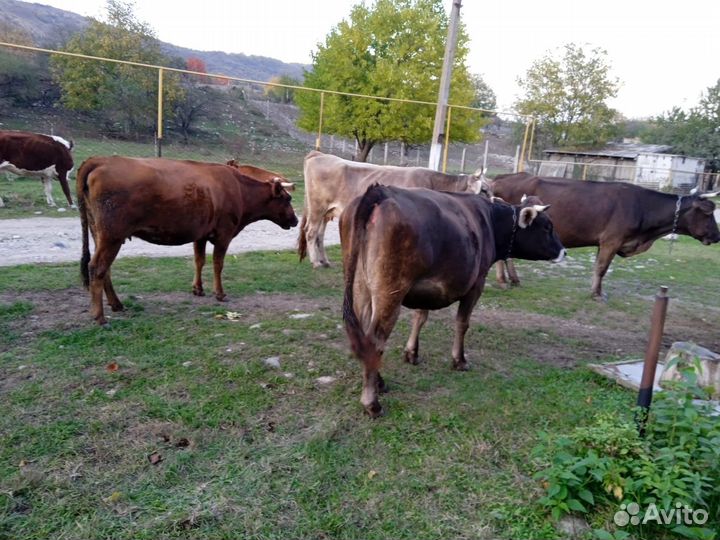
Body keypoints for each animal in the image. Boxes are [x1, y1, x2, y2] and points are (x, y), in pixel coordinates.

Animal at [77, 156, 299, 326]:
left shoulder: (200, 235)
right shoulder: (224, 234)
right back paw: (99, 316)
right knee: (97, 268)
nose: (296, 220)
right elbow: (218, 264)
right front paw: (219, 293)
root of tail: (101, 160)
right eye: (287, 199)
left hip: (100, 235)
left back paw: (116, 304)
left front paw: (198, 289)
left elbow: (199, 261)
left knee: (104, 270)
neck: (239, 189)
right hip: (112, 236)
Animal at [299, 150, 488, 268]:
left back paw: (324, 261)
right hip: (317, 207)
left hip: (326, 211)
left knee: (319, 235)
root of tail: (319, 155)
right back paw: (316, 262)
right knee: (311, 232)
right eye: (484, 189)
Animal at [341, 184, 565, 417]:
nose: (563, 251)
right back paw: (372, 403)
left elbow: (420, 317)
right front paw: (459, 360)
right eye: (547, 226)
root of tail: (380, 191)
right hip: (390, 291)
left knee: (364, 335)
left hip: (361, 287)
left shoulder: (423, 288)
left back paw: (379, 382)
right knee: (374, 340)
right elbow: (462, 323)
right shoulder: (476, 283)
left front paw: (412, 353)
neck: (490, 220)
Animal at [490, 172, 720, 299]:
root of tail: (502, 177)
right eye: (709, 212)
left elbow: (598, 268)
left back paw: (513, 279)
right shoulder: (612, 240)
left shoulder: (604, 243)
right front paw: (596, 294)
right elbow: (602, 268)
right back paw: (503, 281)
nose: (717, 236)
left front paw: (597, 290)